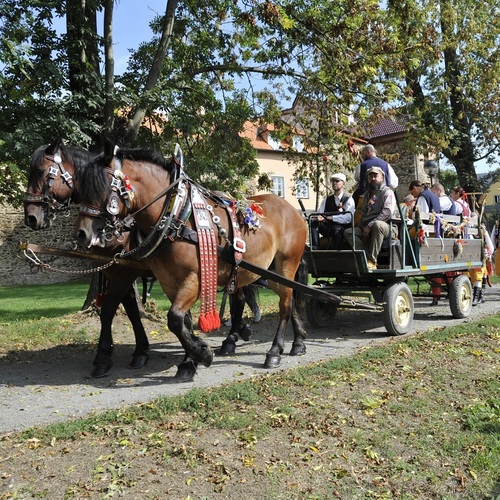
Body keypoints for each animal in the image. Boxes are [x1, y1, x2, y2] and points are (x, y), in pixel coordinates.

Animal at [23, 139, 152, 376]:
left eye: (42, 172)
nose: (31, 217)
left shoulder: (125, 271)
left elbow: (109, 309)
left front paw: (102, 358)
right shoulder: (114, 270)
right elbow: (130, 309)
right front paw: (140, 351)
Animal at [74, 146, 308, 380]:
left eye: (102, 188)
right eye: (81, 190)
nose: (83, 234)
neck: (177, 216)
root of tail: (293, 210)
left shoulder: (192, 279)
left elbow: (174, 318)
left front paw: (200, 353)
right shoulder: (169, 282)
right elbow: (182, 321)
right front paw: (192, 358)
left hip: (286, 265)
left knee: (285, 304)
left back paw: (275, 351)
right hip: (268, 271)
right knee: (288, 300)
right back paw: (296, 343)